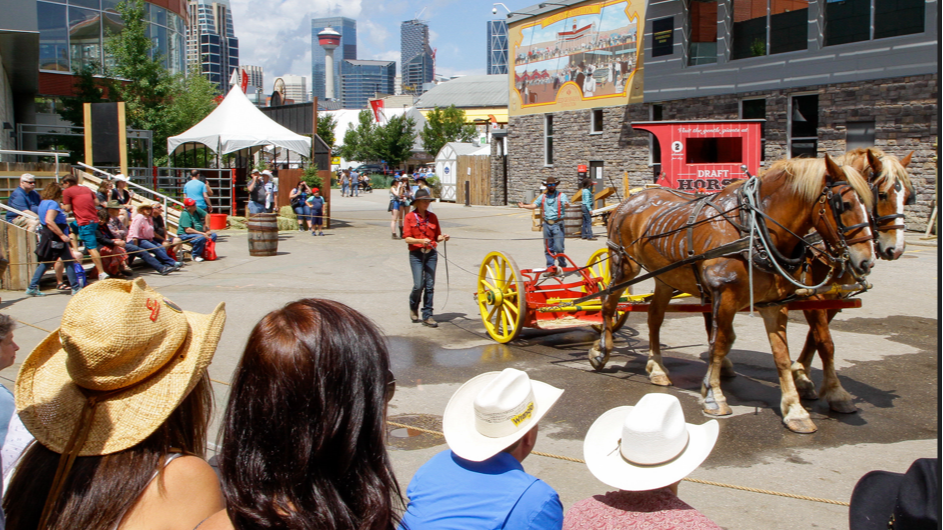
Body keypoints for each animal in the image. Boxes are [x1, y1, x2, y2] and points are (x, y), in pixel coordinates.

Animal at [592, 154, 876, 434]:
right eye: (844, 204)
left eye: (870, 203)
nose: (867, 261)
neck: (755, 229)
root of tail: (628, 201)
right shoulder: (725, 294)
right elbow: (719, 343)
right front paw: (714, 396)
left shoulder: (773, 303)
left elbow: (782, 356)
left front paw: (795, 410)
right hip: (623, 265)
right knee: (608, 304)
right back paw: (602, 350)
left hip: (665, 276)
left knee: (654, 318)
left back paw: (657, 368)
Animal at [788, 146, 916, 410]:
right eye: (882, 195)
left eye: (908, 196)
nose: (895, 249)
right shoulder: (810, 294)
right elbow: (825, 341)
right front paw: (836, 393)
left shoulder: (835, 294)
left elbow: (815, 337)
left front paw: (802, 376)